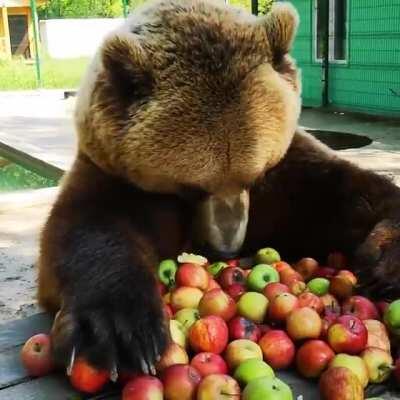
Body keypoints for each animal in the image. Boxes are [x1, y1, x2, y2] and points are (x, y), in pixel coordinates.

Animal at [36, 0, 400, 376]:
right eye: (192, 186)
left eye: (256, 174)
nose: (228, 247)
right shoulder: (117, 176)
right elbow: (89, 227)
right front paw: (120, 331)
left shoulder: (286, 176)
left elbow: (345, 195)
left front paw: (384, 259)